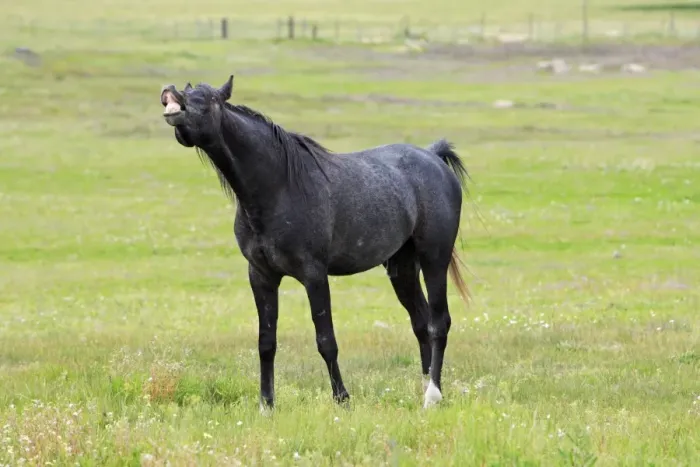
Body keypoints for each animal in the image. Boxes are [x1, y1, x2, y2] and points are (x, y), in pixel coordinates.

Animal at [159, 74, 470, 410]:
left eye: (211, 99)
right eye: (188, 91)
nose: (171, 94)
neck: (279, 186)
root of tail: (433, 157)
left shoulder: (314, 275)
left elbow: (326, 341)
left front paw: (342, 399)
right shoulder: (261, 276)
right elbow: (266, 342)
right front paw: (266, 405)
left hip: (434, 258)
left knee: (439, 323)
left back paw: (433, 395)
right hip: (402, 266)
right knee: (421, 322)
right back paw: (424, 387)